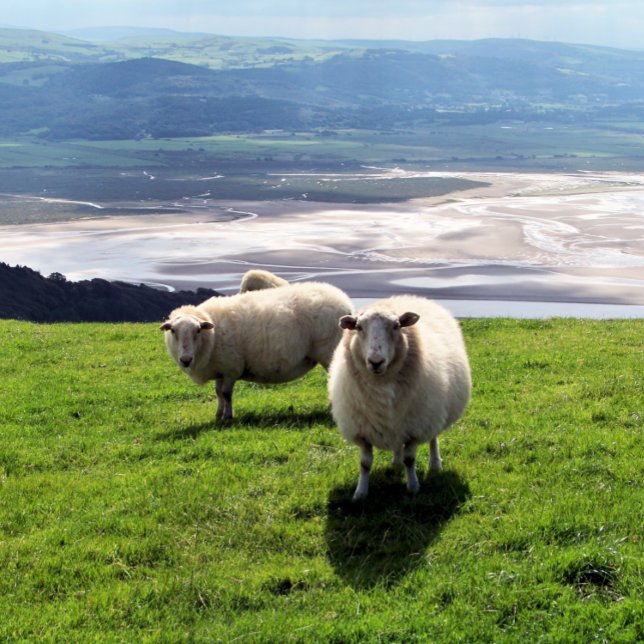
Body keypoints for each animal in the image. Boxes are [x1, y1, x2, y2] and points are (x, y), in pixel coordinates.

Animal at [161, 282, 353, 421]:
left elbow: (226, 394)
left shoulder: (231, 368)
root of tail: (344, 300)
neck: (212, 336)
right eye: (173, 331)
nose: (186, 359)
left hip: (329, 352)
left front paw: (228, 417)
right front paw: (218, 415)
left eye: (198, 330)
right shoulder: (220, 368)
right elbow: (218, 393)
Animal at [327, 295, 471, 500]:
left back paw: (435, 464)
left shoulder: (415, 427)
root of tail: (408, 297)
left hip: (432, 412)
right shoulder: (362, 430)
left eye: (396, 326)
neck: (381, 384)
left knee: (433, 438)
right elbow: (365, 464)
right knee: (397, 443)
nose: (376, 362)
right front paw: (360, 493)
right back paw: (395, 461)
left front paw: (413, 487)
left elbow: (410, 459)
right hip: (397, 422)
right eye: (358, 327)